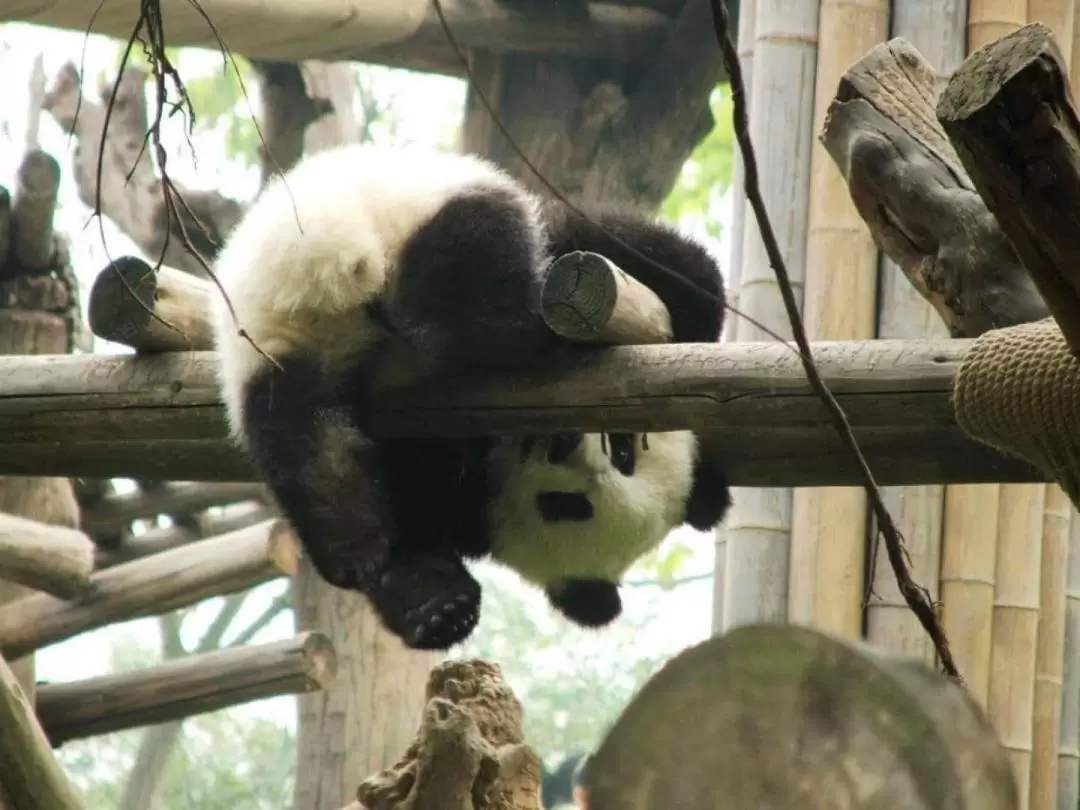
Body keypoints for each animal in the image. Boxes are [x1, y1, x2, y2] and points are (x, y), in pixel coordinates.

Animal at [208, 142, 734, 652]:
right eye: (623, 450)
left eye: (569, 506)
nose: (565, 444)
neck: (499, 456)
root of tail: (325, 256)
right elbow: (647, 256)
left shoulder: (450, 483)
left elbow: (411, 510)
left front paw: (434, 607)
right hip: (427, 209)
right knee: (477, 286)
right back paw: (533, 332)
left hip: (277, 353)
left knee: (301, 437)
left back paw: (347, 540)